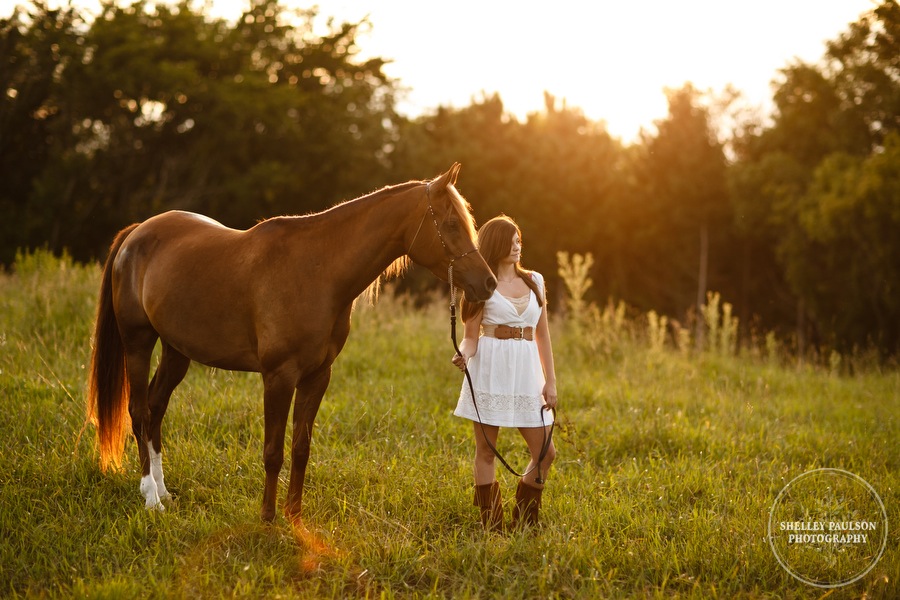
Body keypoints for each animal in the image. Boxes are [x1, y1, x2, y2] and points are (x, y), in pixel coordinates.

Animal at [87, 163, 496, 520]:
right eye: (451, 223)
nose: (488, 283)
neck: (317, 271)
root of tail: (137, 233)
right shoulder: (278, 377)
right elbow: (273, 452)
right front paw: (268, 517)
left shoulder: (317, 376)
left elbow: (301, 448)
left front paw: (295, 516)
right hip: (138, 343)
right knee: (139, 411)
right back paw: (150, 497)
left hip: (177, 352)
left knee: (156, 408)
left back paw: (163, 490)